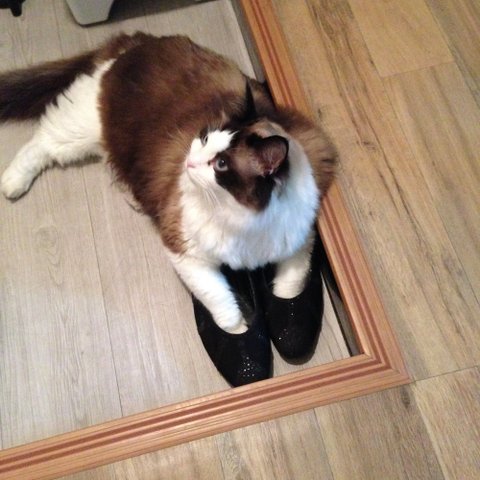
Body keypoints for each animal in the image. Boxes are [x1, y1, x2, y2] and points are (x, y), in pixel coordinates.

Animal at [0, 32, 337, 333]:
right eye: (204, 138)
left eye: (221, 164)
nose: (189, 161)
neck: (244, 217)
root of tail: (139, 40)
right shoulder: (186, 252)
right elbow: (223, 306)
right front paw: (241, 334)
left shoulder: (300, 240)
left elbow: (290, 287)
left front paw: (288, 321)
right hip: (81, 129)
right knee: (42, 143)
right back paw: (12, 183)